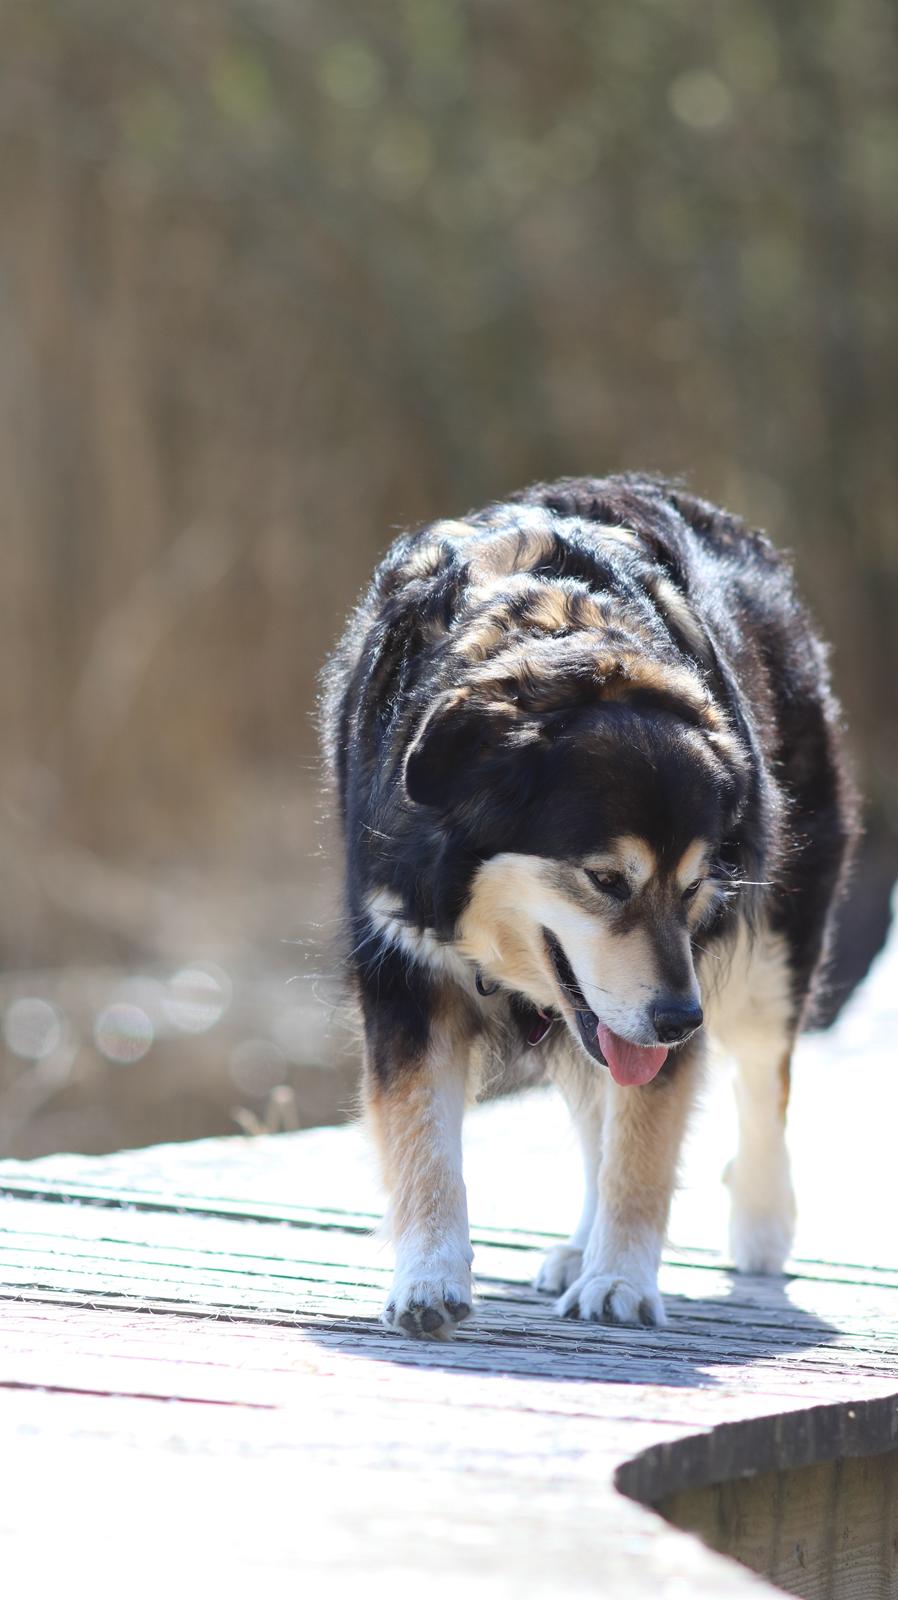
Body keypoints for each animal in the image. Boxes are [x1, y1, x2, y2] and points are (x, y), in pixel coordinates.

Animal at [320, 470, 851, 1337]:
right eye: (606, 880)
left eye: (695, 886)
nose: (682, 1020)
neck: (563, 653)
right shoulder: (404, 969)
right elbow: (422, 1138)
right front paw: (428, 1279)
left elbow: (645, 1143)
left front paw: (622, 1281)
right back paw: (579, 1243)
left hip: (770, 955)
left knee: (762, 1077)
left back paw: (762, 1227)